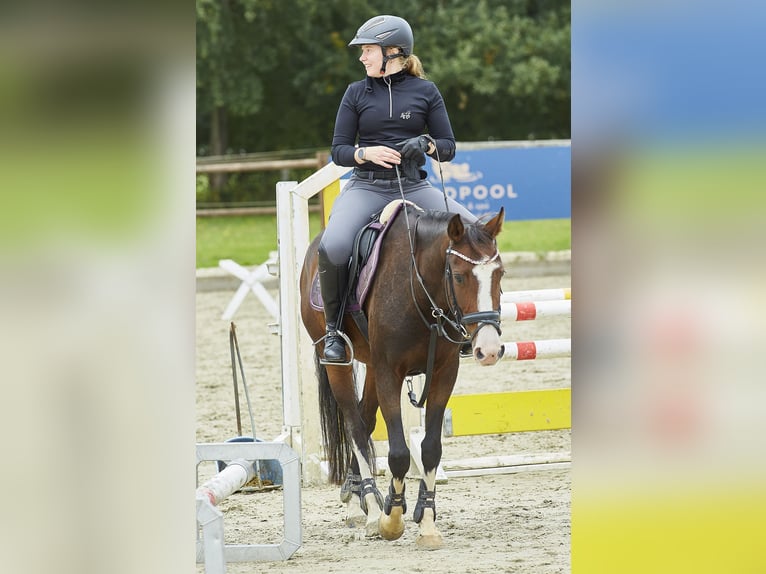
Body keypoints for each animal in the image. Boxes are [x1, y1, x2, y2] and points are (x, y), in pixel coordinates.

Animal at [302, 202, 510, 548]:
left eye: (500, 274)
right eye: (458, 276)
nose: (489, 350)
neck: (422, 291)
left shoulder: (444, 372)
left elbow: (430, 449)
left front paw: (426, 521)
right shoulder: (390, 371)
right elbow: (399, 453)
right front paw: (392, 519)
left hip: (371, 367)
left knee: (365, 420)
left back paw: (356, 496)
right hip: (338, 364)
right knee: (355, 427)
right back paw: (372, 510)